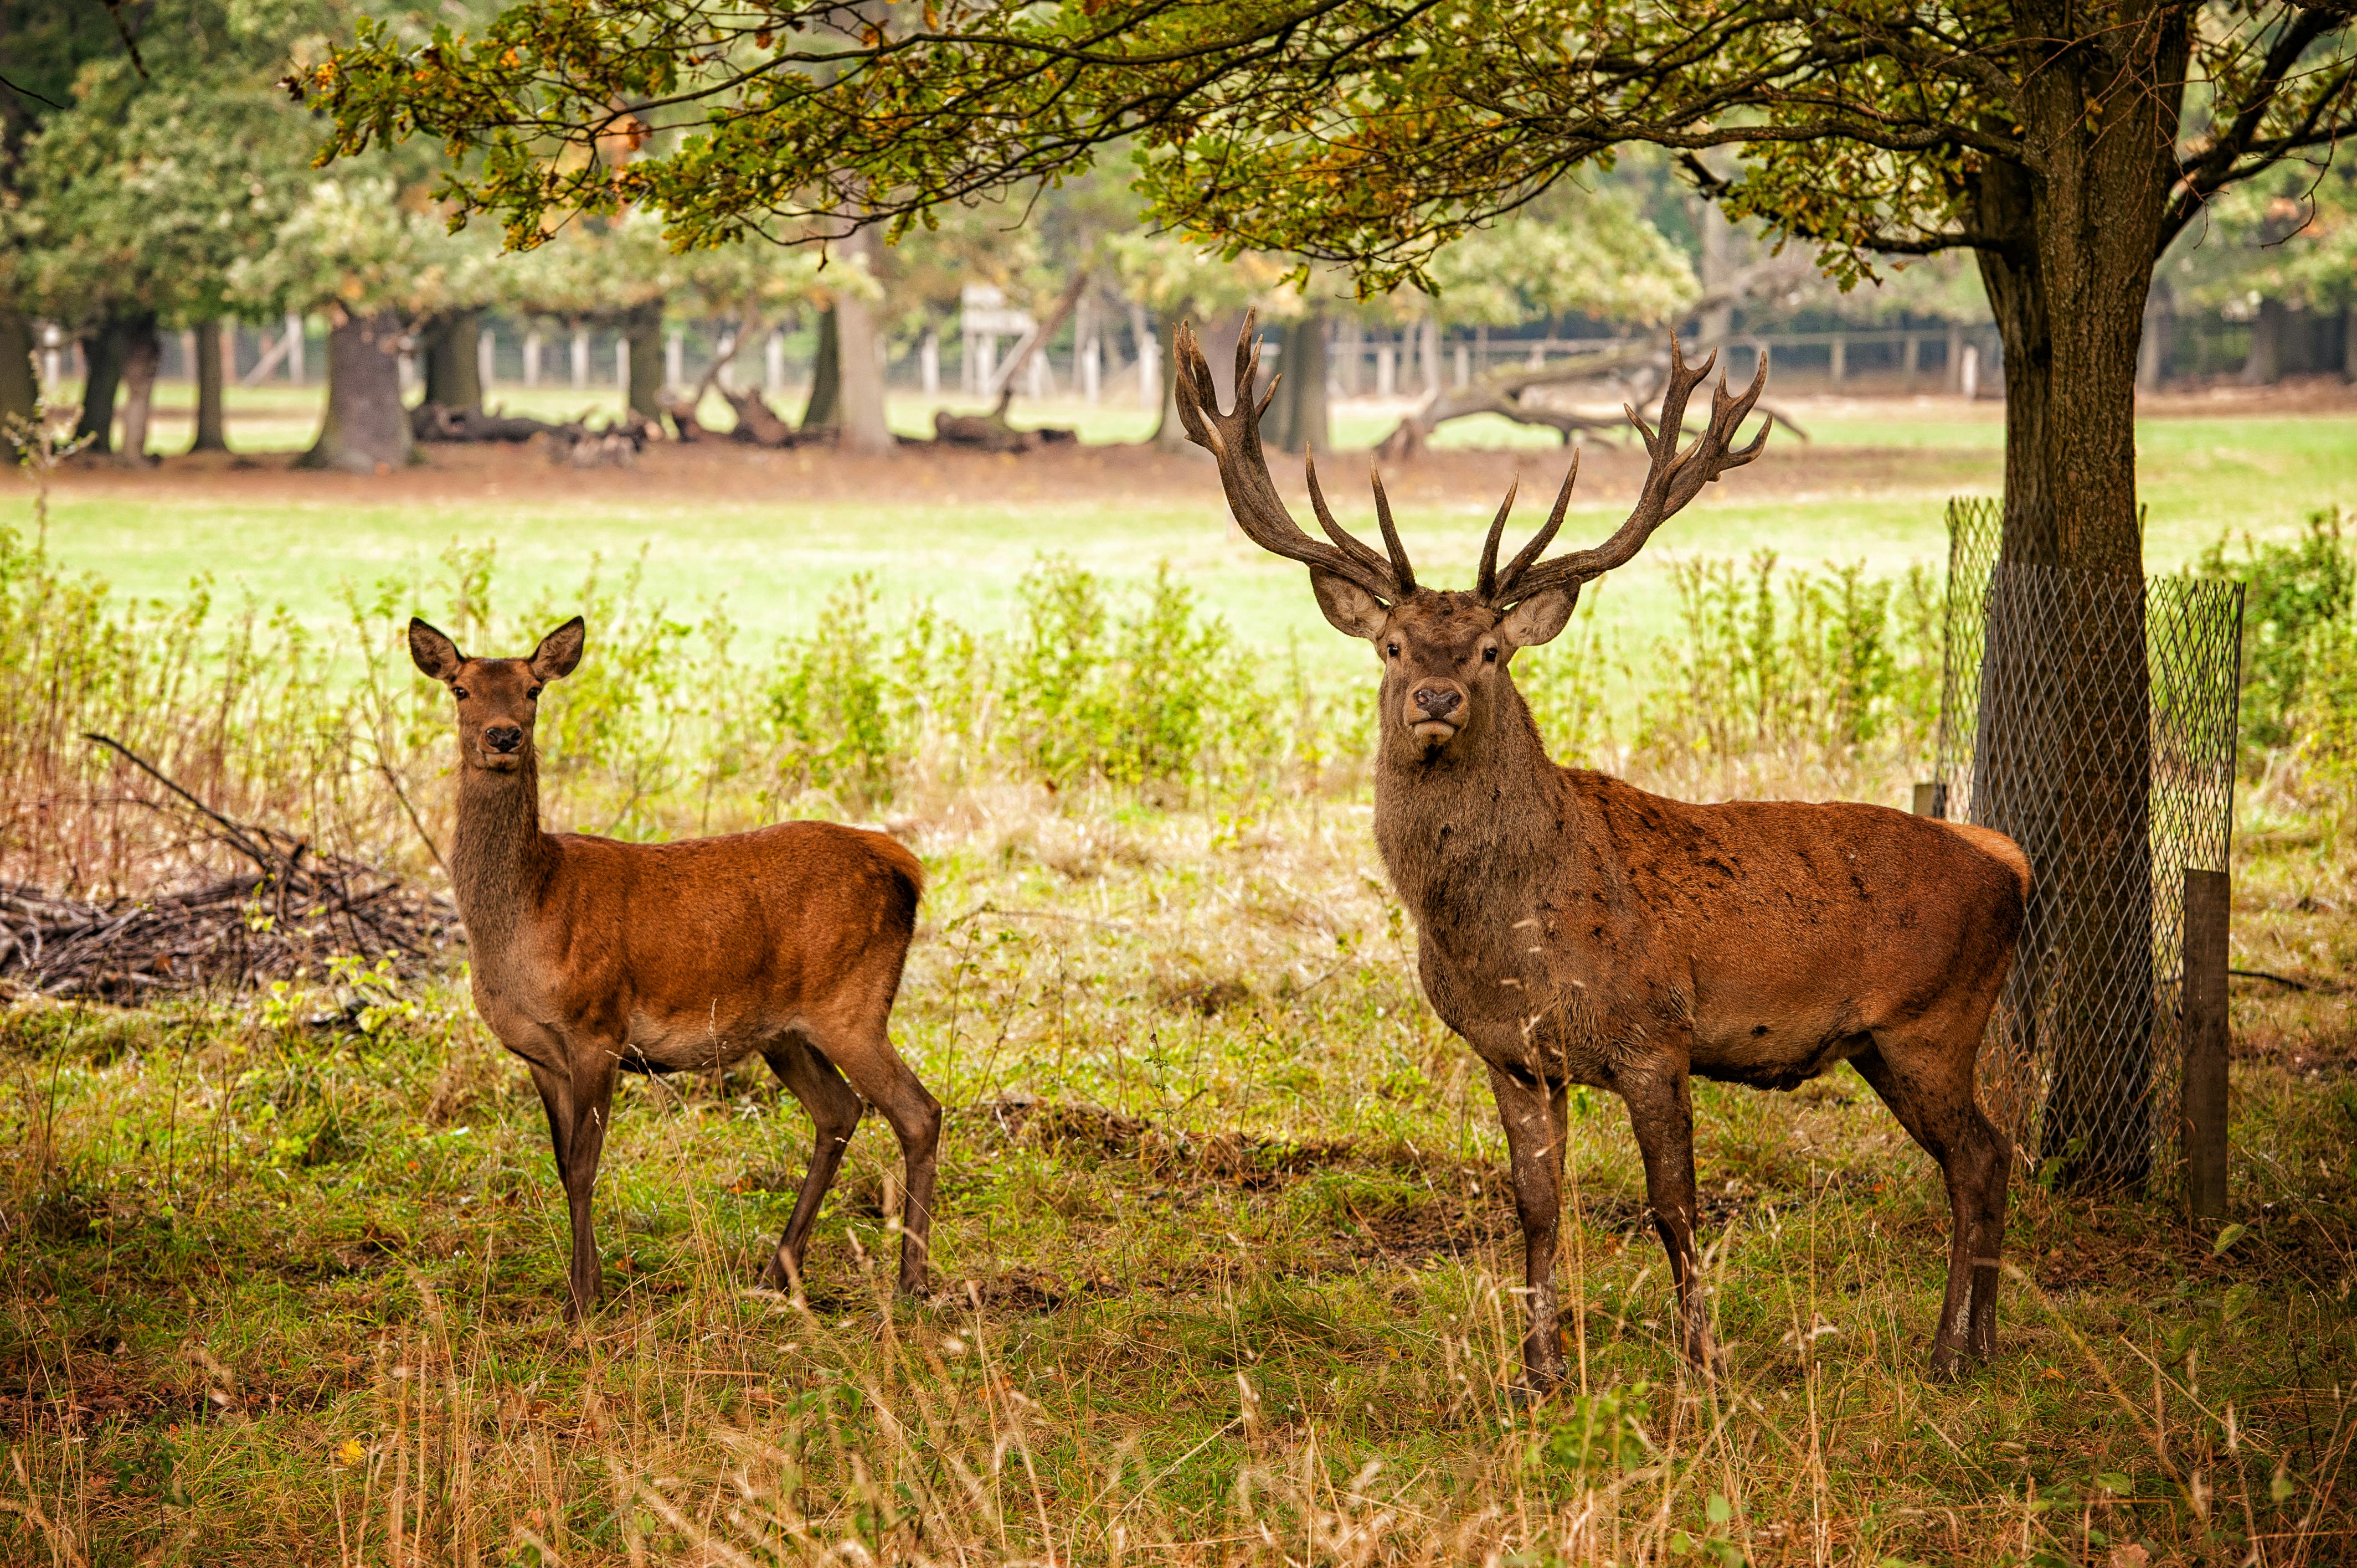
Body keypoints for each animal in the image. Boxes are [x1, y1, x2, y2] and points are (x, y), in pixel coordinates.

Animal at [410, 617, 943, 1311]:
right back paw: (777, 1273)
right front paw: (589, 1284)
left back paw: (911, 1281)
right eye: (461, 690)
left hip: (852, 1003)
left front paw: (583, 1301)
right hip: (785, 1032)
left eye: (532, 690)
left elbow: (585, 1163)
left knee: (918, 1112)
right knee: (839, 1112)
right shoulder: (536, 1053)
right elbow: (563, 1165)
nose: (503, 737)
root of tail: (907, 869)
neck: (528, 917)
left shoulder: (598, 1026)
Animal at [1179, 318, 2027, 1386]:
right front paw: (1539, 1368)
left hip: (1934, 1022)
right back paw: (1975, 1342)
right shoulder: (1513, 1056)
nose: (1437, 698)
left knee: (1983, 1157)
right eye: (1393, 648)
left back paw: (1954, 1348)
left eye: (1491, 651)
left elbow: (1676, 1209)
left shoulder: (1654, 1035)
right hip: (1888, 1042)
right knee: (1982, 1157)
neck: (1509, 946)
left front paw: (1703, 1361)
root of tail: (2012, 862)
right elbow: (1537, 1210)